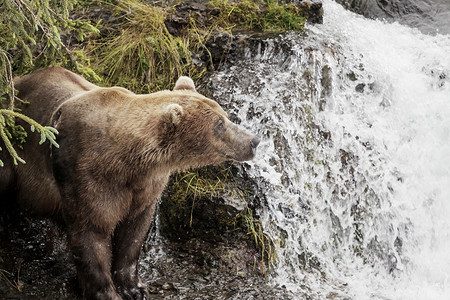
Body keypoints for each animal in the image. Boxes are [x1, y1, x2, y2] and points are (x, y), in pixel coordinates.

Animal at [0, 66, 260, 300]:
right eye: (219, 124)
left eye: (224, 115)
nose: (254, 140)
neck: (128, 161)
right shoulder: (86, 175)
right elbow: (91, 233)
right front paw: (107, 292)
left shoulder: (144, 186)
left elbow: (134, 232)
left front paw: (134, 288)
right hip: (11, 156)